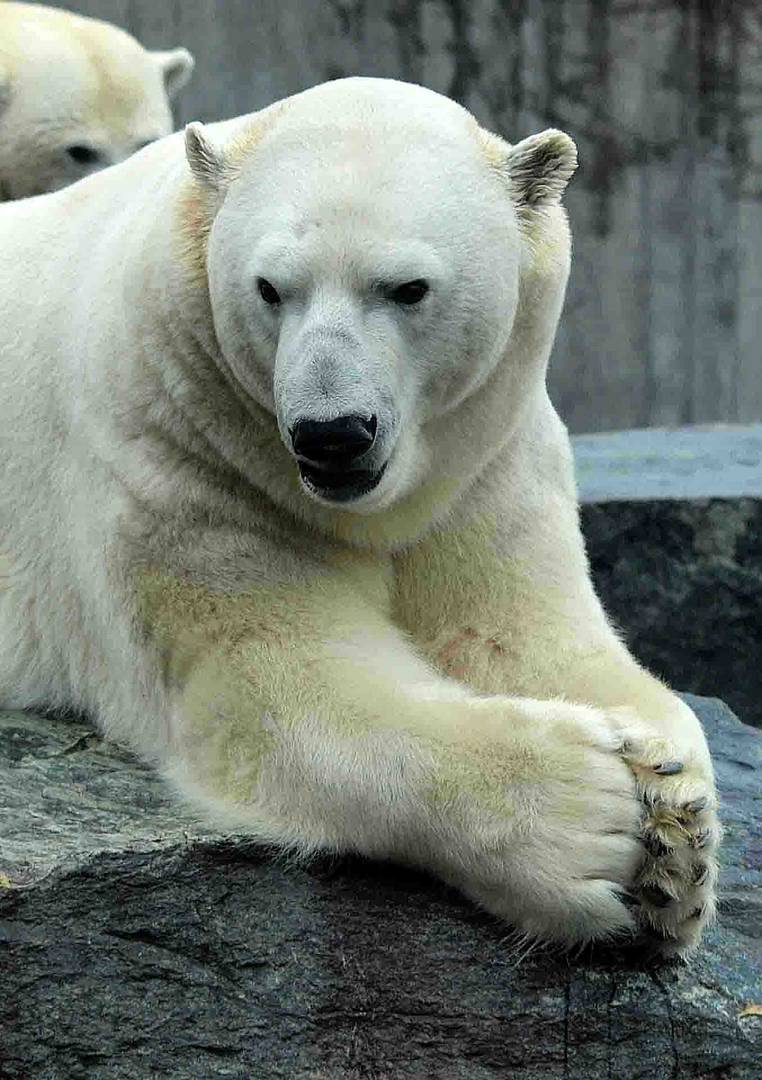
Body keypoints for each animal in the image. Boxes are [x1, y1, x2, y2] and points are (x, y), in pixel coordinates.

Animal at [0, 76, 716, 954]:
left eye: (407, 287)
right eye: (269, 288)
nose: (332, 434)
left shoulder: (484, 459)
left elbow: (520, 634)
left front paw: (674, 833)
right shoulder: (177, 452)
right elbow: (279, 680)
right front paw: (594, 819)